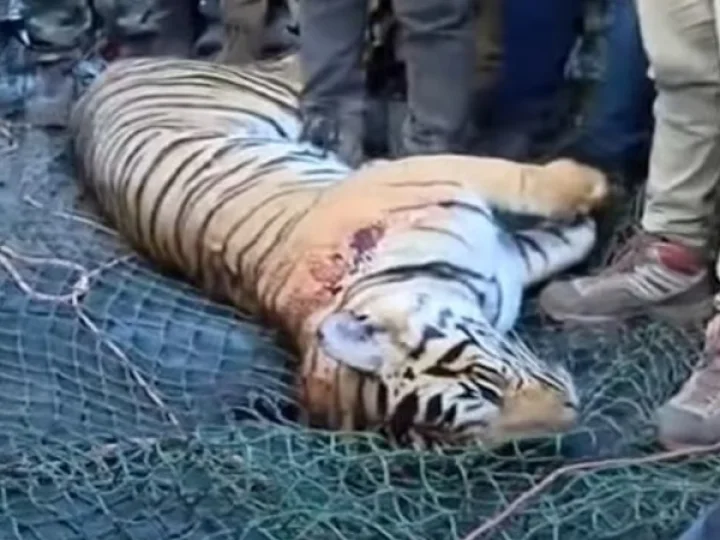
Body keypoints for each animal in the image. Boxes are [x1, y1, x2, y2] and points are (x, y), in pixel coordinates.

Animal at [69, 54, 609, 450]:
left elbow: (528, 182)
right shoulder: (506, 262)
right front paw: (583, 226)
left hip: (275, 87)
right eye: (476, 439)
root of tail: (103, 76)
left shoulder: (432, 171)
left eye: (486, 383)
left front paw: (593, 185)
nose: (570, 413)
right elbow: (561, 243)